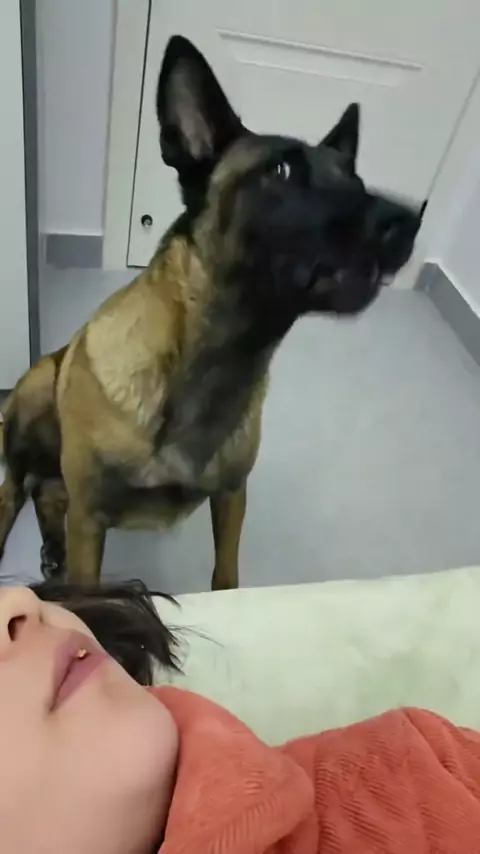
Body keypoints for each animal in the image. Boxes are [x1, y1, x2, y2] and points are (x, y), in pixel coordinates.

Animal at [0, 35, 422, 589]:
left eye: (355, 180)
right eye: (281, 170)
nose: (411, 220)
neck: (217, 358)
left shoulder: (231, 496)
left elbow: (226, 576)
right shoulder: (90, 519)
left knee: (46, 495)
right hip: (31, 400)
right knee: (14, 493)